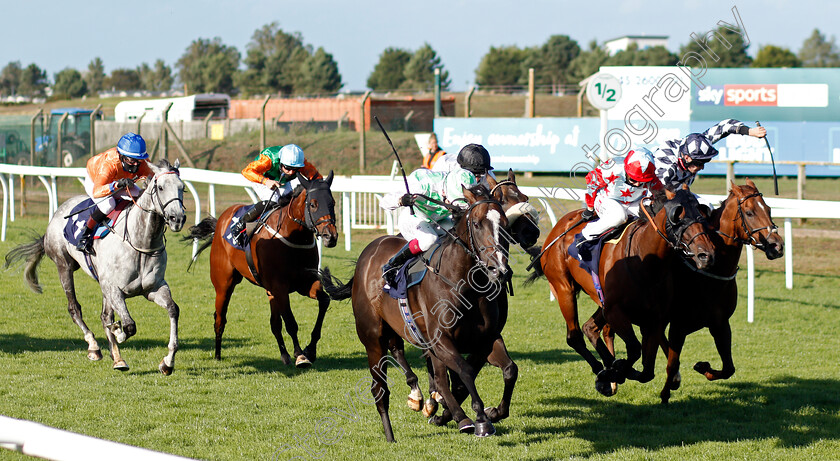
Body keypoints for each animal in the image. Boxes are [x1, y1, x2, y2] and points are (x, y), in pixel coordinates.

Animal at [4, 158, 188, 374]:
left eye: (182, 187)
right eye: (160, 187)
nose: (178, 219)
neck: (141, 242)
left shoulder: (153, 288)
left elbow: (173, 309)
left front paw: (167, 362)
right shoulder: (114, 289)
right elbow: (128, 325)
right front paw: (118, 332)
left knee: (104, 315)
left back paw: (118, 358)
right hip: (64, 266)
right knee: (75, 308)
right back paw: (95, 346)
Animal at [187, 172, 338, 366]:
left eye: (332, 202)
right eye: (313, 204)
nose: (330, 236)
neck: (293, 237)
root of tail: (222, 218)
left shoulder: (304, 283)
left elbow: (324, 301)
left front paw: (310, 350)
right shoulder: (280, 287)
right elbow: (290, 322)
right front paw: (300, 354)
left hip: (269, 291)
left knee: (274, 323)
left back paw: (284, 355)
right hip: (224, 284)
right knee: (220, 319)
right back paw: (218, 355)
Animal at [320, 184, 506, 442]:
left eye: (505, 223)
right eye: (477, 223)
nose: (498, 269)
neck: (464, 284)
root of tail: (367, 255)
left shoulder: (486, 338)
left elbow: (508, 369)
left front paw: (491, 412)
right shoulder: (441, 340)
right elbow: (464, 372)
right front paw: (479, 419)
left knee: (400, 352)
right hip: (372, 338)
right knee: (380, 389)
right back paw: (391, 434)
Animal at [524, 185, 716, 394]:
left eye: (702, 214)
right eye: (678, 216)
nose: (706, 255)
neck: (646, 263)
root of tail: (558, 228)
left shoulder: (655, 319)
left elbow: (647, 370)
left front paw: (620, 370)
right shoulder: (615, 311)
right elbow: (633, 348)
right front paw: (615, 371)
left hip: (600, 299)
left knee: (590, 327)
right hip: (563, 288)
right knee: (574, 336)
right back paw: (602, 369)